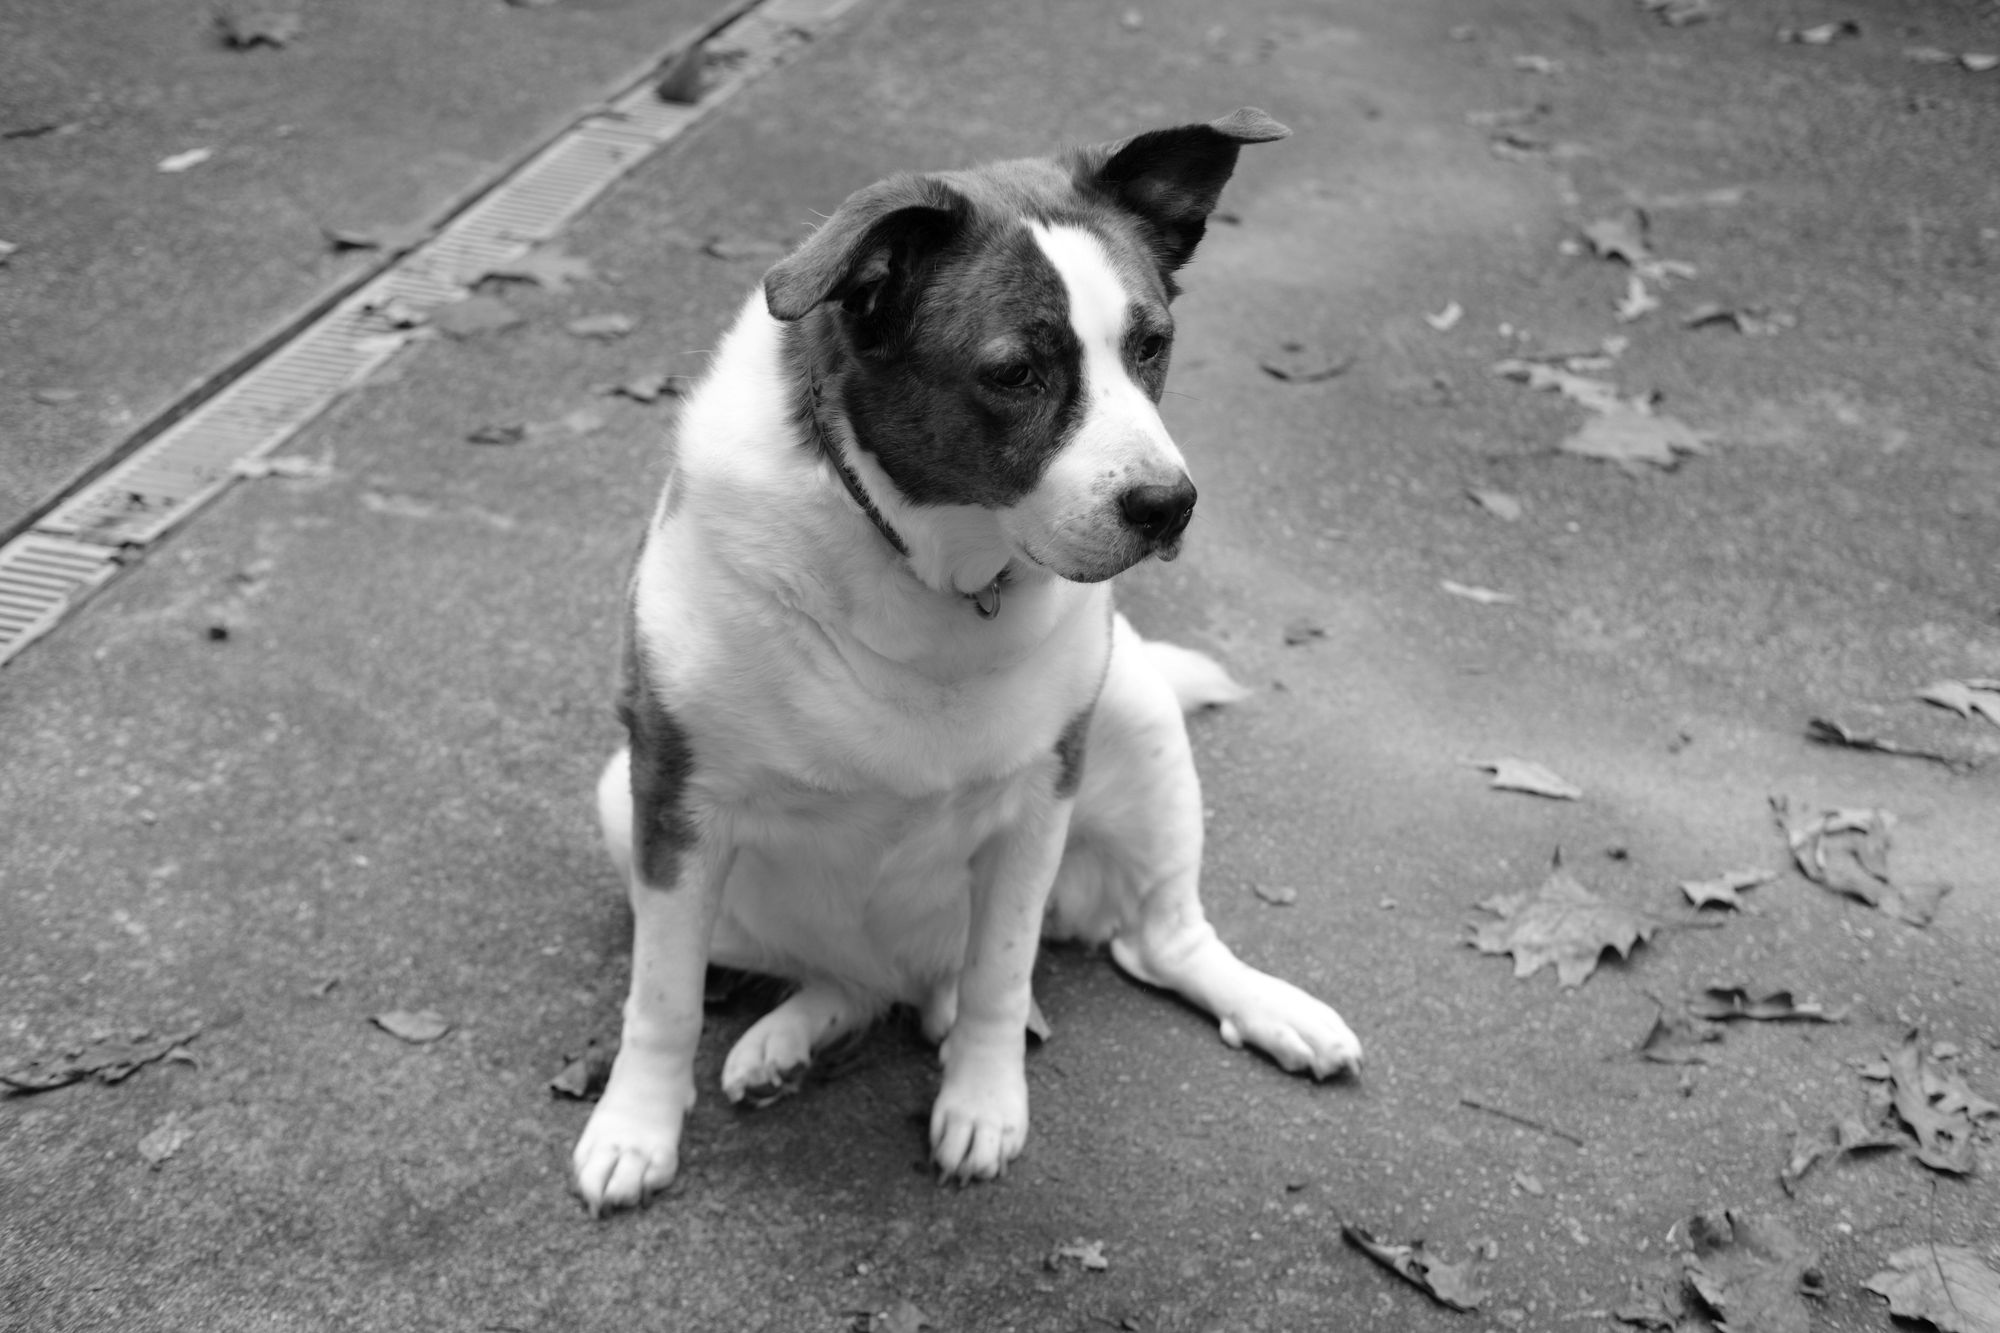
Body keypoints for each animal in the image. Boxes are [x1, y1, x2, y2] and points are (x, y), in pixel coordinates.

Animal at [572, 111, 1368, 1216]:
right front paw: (636, 1125)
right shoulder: (675, 800)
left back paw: (1270, 1007)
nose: (1169, 506)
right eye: (1015, 373)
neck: (928, 562)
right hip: (623, 803)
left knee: (1159, 940)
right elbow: (662, 997)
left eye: (1151, 346)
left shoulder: (1037, 801)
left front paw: (984, 1100)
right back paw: (791, 1036)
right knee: (851, 979)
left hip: (1133, 714)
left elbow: (1000, 973)